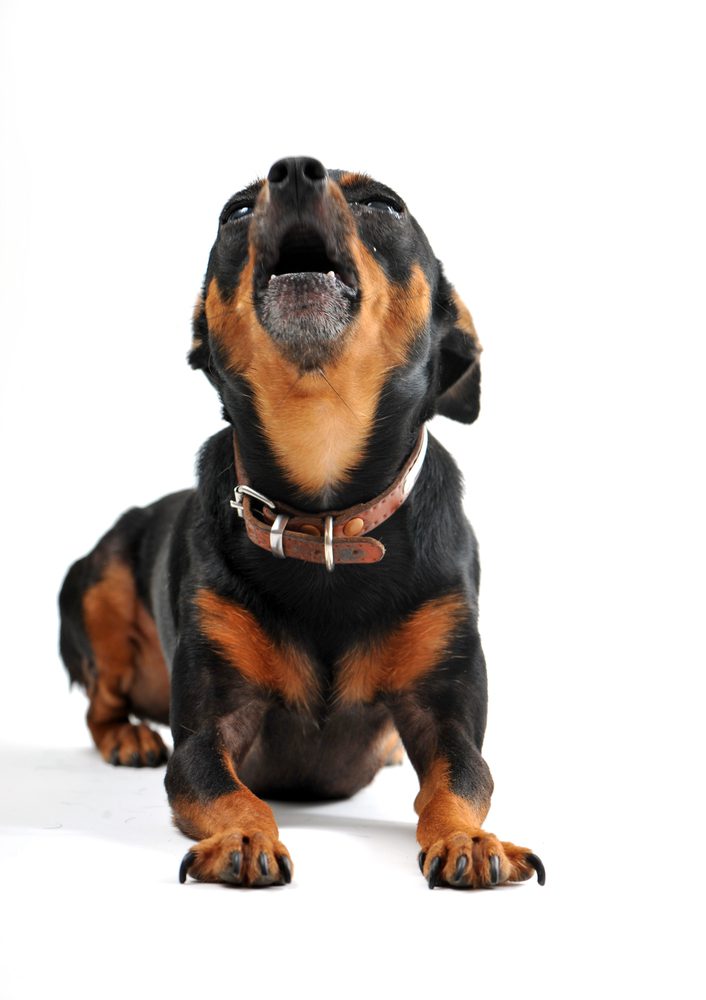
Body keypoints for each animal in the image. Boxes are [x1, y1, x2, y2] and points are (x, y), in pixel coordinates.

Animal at [60, 156, 544, 892]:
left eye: (384, 205)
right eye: (234, 212)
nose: (292, 170)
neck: (325, 519)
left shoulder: (447, 716)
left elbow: (459, 781)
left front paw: (469, 837)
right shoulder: (206, 732)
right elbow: (228, 788)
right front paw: (241, 836)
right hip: (98, 585)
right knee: (100, 699)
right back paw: (128, 735)